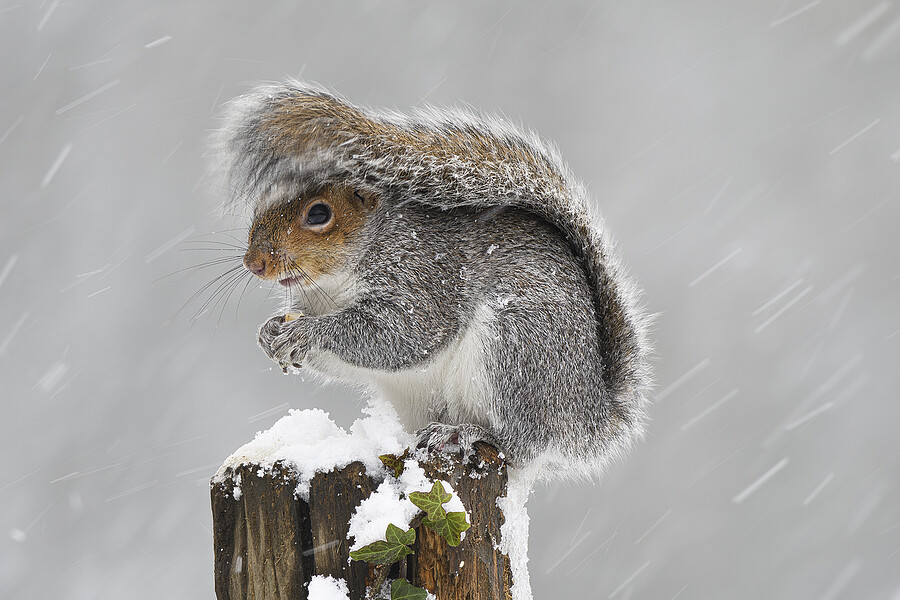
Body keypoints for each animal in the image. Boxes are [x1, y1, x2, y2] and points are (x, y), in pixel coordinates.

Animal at [216, 81, 652, 478]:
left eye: (319, 214)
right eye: (261, 206)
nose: (254, 263)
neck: (334, 286)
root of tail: (588, 417)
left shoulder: (422, 276)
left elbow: (402, 335)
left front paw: (306, 332)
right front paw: (270, 332)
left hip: (518, 350)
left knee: (524, 443)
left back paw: (468, 434)